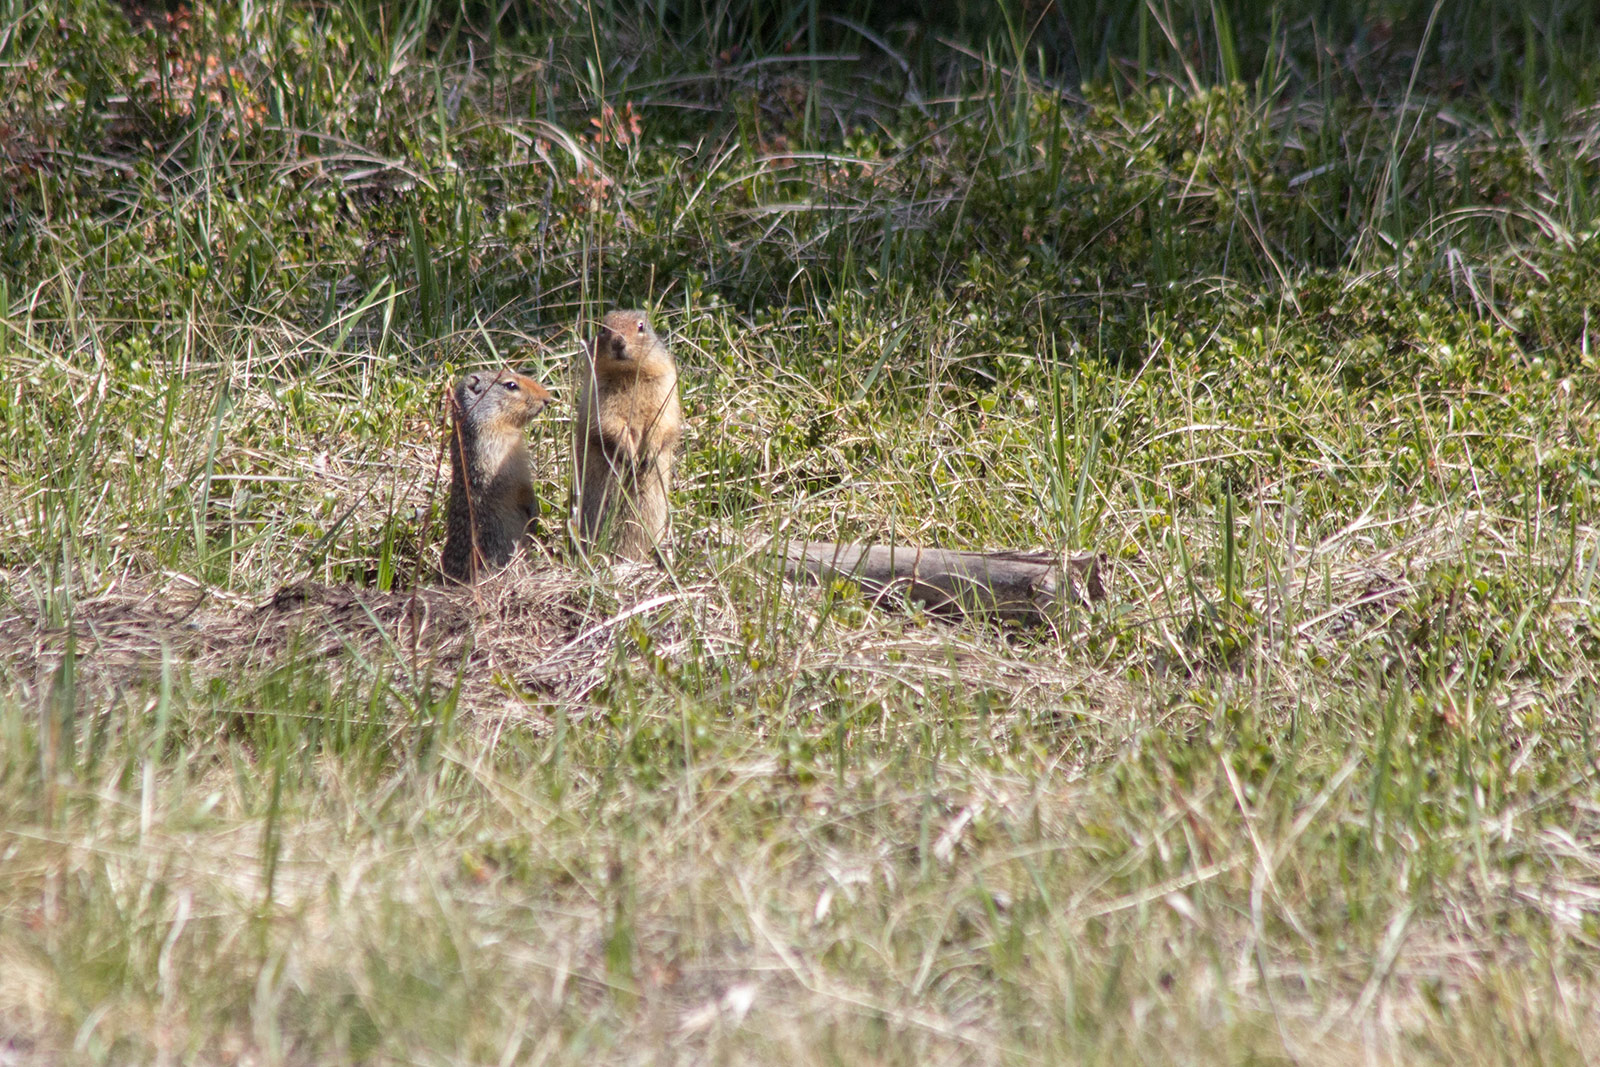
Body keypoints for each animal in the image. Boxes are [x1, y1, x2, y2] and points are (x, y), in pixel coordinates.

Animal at [570, 309, 684, 563]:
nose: (619, 342)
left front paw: (648, 455)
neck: (628, 374)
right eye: (603, 328)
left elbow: (662, 422)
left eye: (641, 326)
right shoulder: (599, 395)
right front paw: (631, 457)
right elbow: (609, 423)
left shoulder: (665, 387)